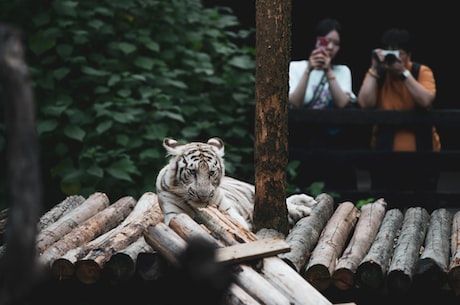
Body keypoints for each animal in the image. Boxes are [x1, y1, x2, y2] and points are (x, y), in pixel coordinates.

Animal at [155, 137, 316, 229]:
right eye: (192, 172)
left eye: (211, 173)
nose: (203, 196)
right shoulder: (174, 215)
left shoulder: (229, 212)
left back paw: (304, 205)